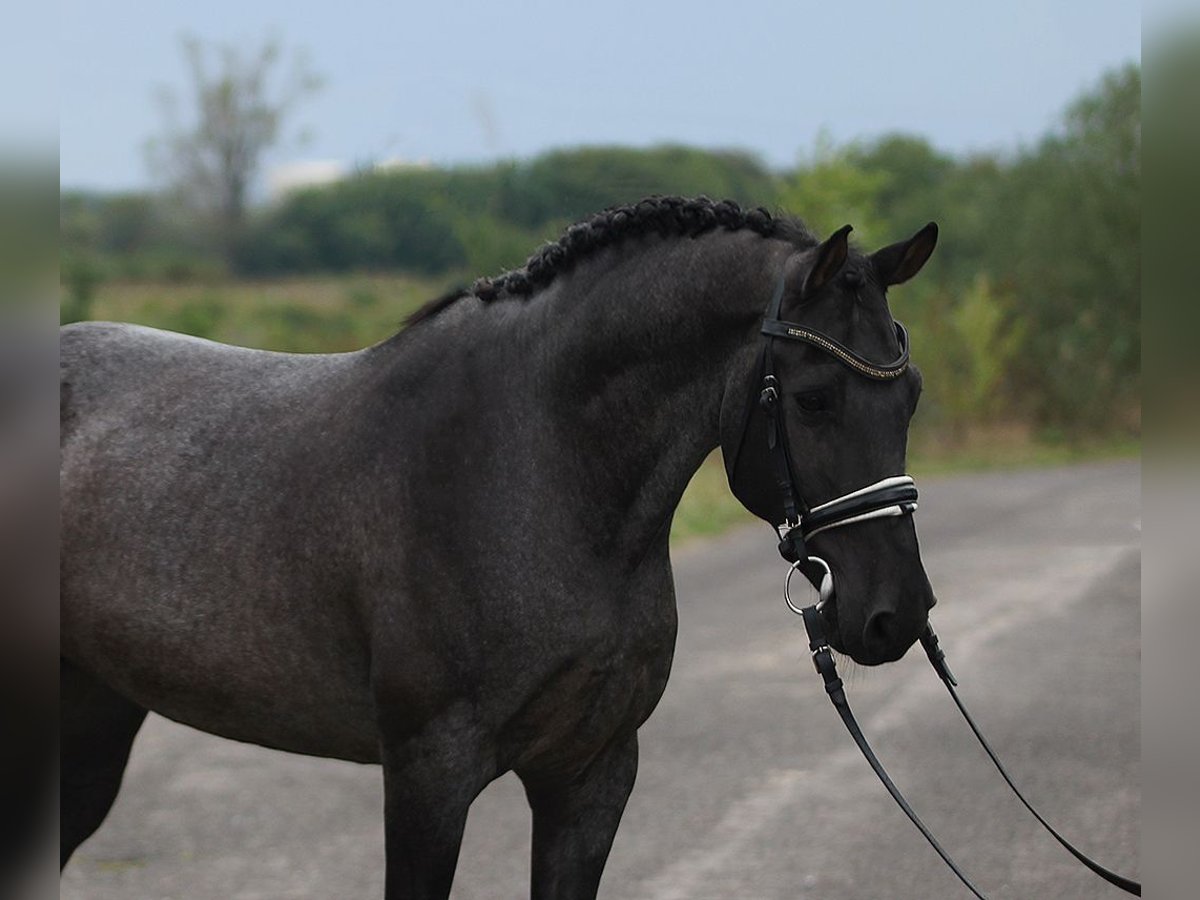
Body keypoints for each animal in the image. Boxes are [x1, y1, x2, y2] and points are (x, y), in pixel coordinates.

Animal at [58, 194, 936, 897]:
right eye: (814, 399)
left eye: (913, 394)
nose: (896, 615)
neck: (535, 464)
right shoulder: (429, 778)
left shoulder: (591, 775)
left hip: (97, 722)